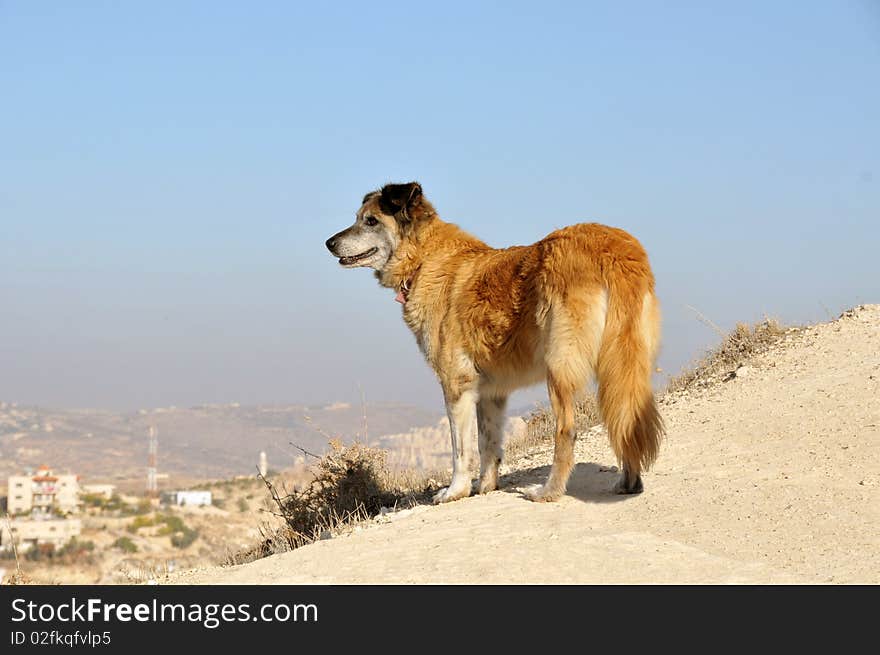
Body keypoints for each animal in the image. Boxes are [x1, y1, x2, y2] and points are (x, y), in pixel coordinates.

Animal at [326, 182, 664, 504]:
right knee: (626, 417)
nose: (329, 243)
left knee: (566, 430)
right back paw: (629, 482)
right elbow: (488, 444)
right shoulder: (491, 392)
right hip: (625, 362)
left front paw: (455, 491)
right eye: (358, 218)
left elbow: (461, 450)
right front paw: (485, 487)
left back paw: (549, 492)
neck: (424, 258)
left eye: (370, 221)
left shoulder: (456, 386)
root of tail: (612, 250)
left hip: (559, 367)